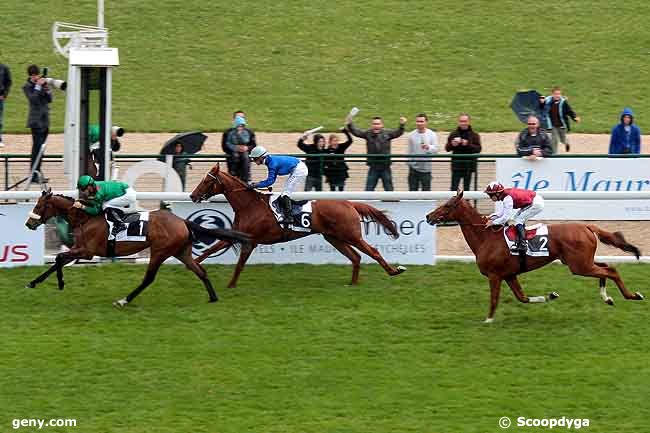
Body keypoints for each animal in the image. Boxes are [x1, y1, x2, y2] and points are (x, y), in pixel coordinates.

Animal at [24, 190, 248, 308]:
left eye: (39, 206)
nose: (29, 223)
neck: (85, 218)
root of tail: (182, 221)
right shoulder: (80, 249)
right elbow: (59, 260)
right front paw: (34, 283)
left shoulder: (87, 252)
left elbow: (60, 257)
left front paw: (59, 283)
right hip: (181, 252)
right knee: (200, 271)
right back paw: (213, 297)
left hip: (160, 252)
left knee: (148, 278)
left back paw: (124, 300)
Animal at [187, 162, 404, 286]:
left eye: (206, 181)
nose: (193, 196)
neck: (249, 205)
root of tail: (349, 203)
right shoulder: (236, 235)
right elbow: (211, 249)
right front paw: (193, 265)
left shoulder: (251, 241)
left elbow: (239, 265)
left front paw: (230, 286)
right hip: (334, 238)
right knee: (356, 257)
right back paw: (353, 283)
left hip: (351, 235)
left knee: (372, 251)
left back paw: (393, 271)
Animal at [422, 187, 640, 322]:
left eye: (447, 205)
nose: (428, 216)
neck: (485, 237)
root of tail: (587, 226)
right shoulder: (509, 275)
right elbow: (522, 298)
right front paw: (549, 295)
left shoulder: (494, 275)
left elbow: (494, 299)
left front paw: (488, 320)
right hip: (582, 262)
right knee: (606, 267)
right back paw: (608, 298)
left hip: (579, 266)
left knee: (611, 271)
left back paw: (632, 295)